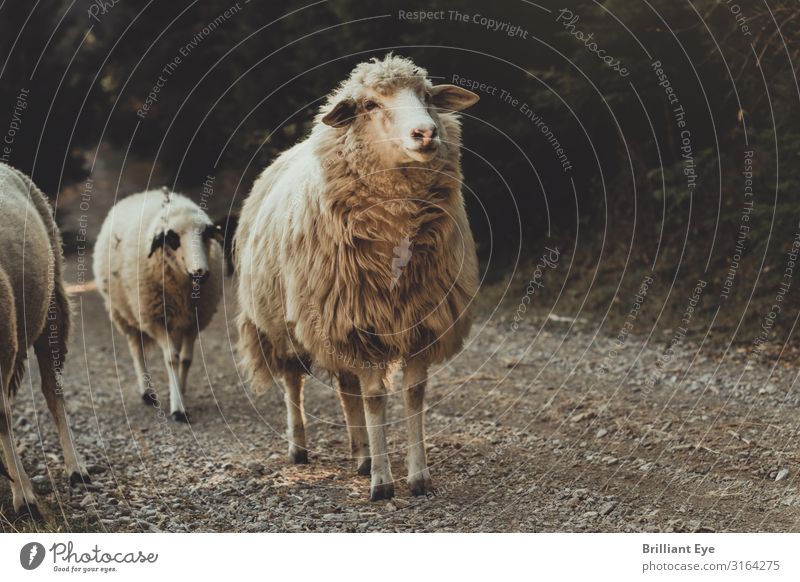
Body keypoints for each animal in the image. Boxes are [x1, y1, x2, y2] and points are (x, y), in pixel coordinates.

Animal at [94, 189, 225, 422]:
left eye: (205, 235)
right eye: (173, 238)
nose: (200, 272)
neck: (184, 290)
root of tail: (141, 193)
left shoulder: (193, 321)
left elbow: (186, 359)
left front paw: (180, 391)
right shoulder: (155, 320)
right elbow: (171, 358)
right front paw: (178, 408)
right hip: (124, 314)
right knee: (137, 351)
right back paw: (147, 392)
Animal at [234, 54, 478, 502]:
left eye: (426, 96)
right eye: (369, 105)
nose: (426, 132)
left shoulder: (417, 320)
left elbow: (411, 394)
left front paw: (418, 476)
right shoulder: (360, 324)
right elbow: (376, 398)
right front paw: (383, 483)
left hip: (333, 320)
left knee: (347, 388)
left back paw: (361, 455)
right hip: (285, 322)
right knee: (293, 381)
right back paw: (300, 448)